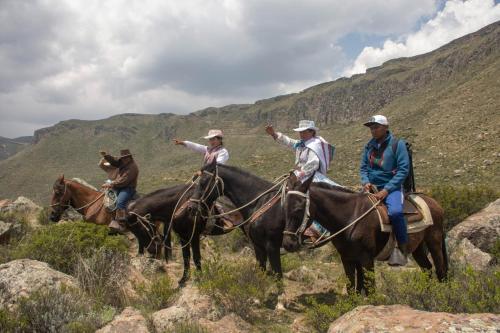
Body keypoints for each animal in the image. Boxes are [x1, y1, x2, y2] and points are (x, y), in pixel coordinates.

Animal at [282, 174, 450, 294]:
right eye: (284, 207)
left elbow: (370, 289)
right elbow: (353, 288)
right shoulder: (348, 258)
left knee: (440, 271)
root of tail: (436, 203)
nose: (288, 243)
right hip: (418, 247)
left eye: (298, 209)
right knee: (427, 269)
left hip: (434, 242)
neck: (350, 217)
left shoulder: (366, 259)